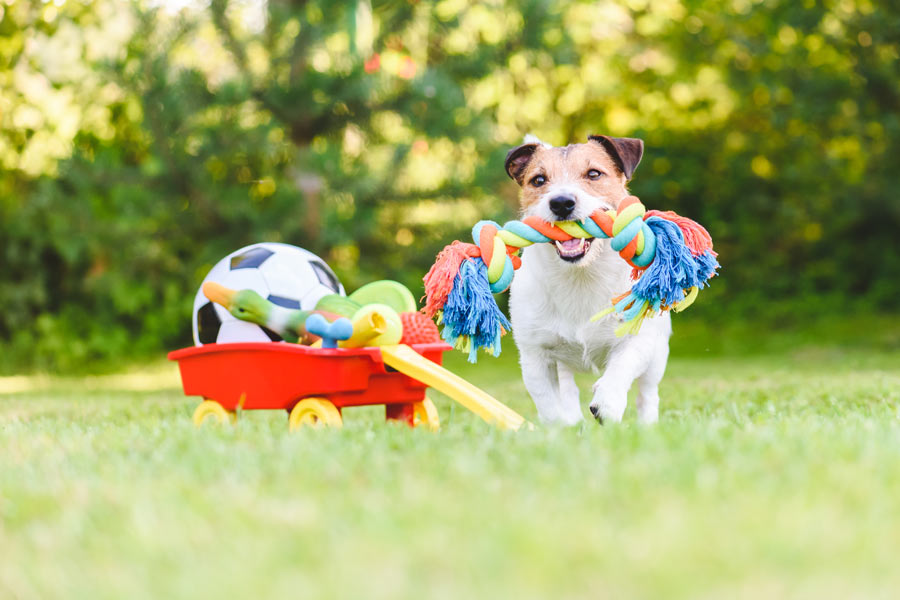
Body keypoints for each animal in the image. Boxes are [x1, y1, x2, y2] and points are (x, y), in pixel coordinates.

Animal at [506, 136, 668, 426]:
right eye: (538, 180)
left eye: (594, 174)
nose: (561, 202)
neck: (581, 275)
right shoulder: (535, 355)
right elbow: (549, 404)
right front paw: (560, 430)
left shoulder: (637, 339)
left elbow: (621, 366)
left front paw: (607, 403)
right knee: (568, 391)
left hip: (658, 355)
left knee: (647, 394)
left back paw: (647, 424)